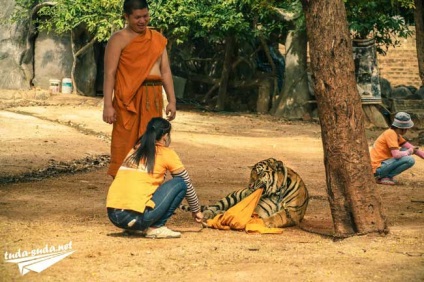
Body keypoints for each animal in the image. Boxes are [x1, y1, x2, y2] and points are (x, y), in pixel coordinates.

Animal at [179, 158, 308, 228]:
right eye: (251, 174)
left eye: (260, 173)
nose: (249, 186)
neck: (277, 192)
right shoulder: (260, 209)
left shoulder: (293, 211)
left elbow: (279, 216)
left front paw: (267, 222)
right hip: (231, 197)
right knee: (214, 207)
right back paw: (209, 214)